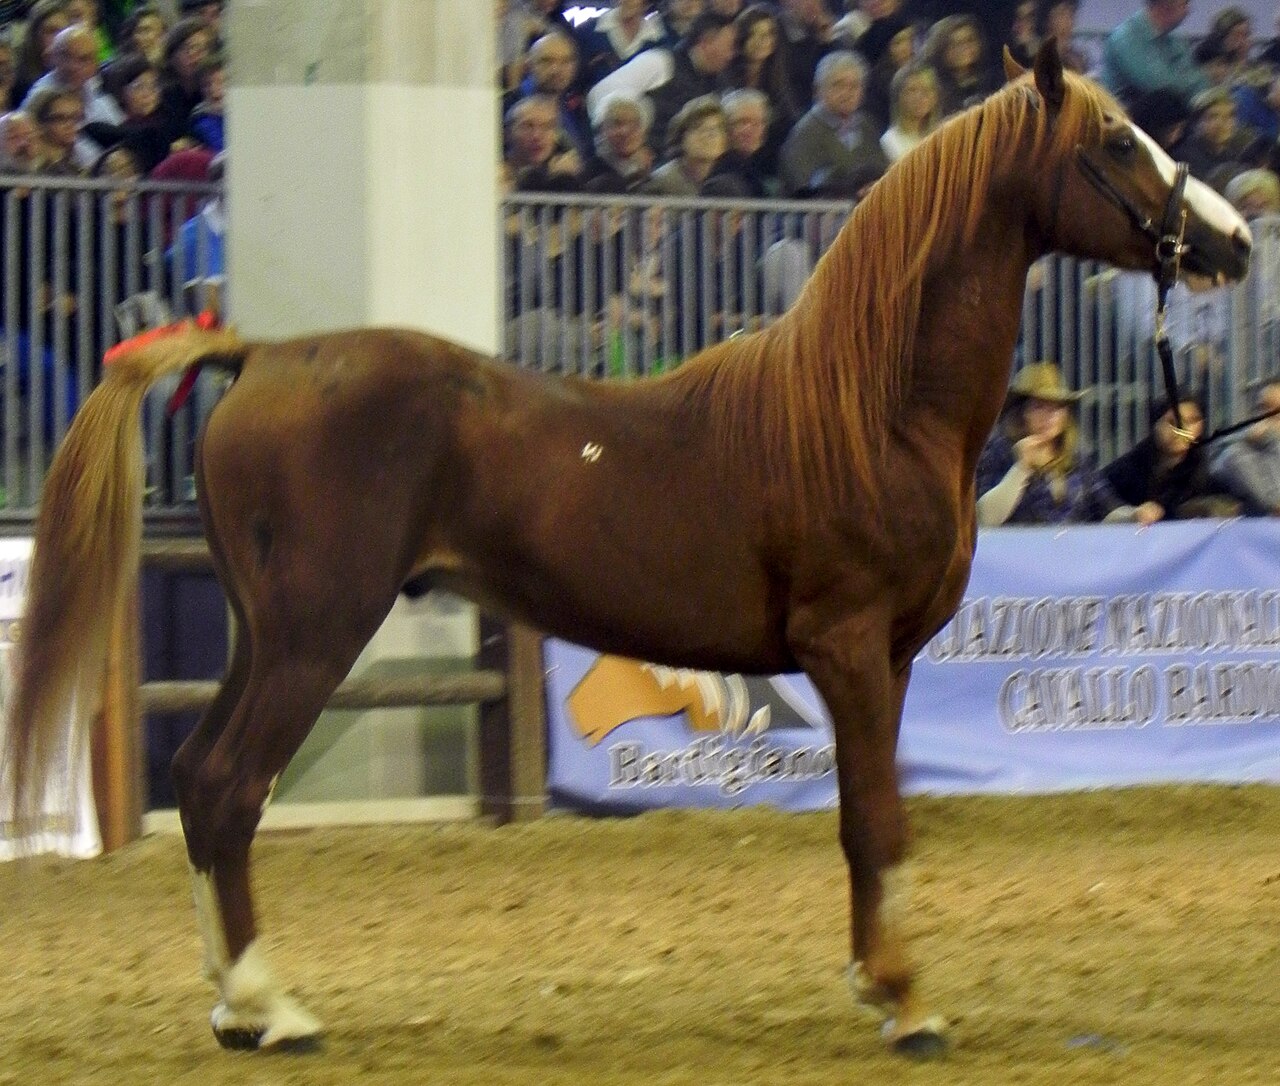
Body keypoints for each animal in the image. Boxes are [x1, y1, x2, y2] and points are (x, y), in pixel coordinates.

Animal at [2, 44, 1251, 1059]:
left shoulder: (888, 663)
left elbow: (871, 822)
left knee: (199, 776)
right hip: (313, 634)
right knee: (226, 785)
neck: (870, 402)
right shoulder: (847, 649)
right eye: (1112, 141)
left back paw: (233, 1002)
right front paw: (905, 1003)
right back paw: (270, 1007)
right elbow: (871, 820)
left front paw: (877, 980)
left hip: (260, 638)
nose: (1232, 242)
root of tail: (259, 355)